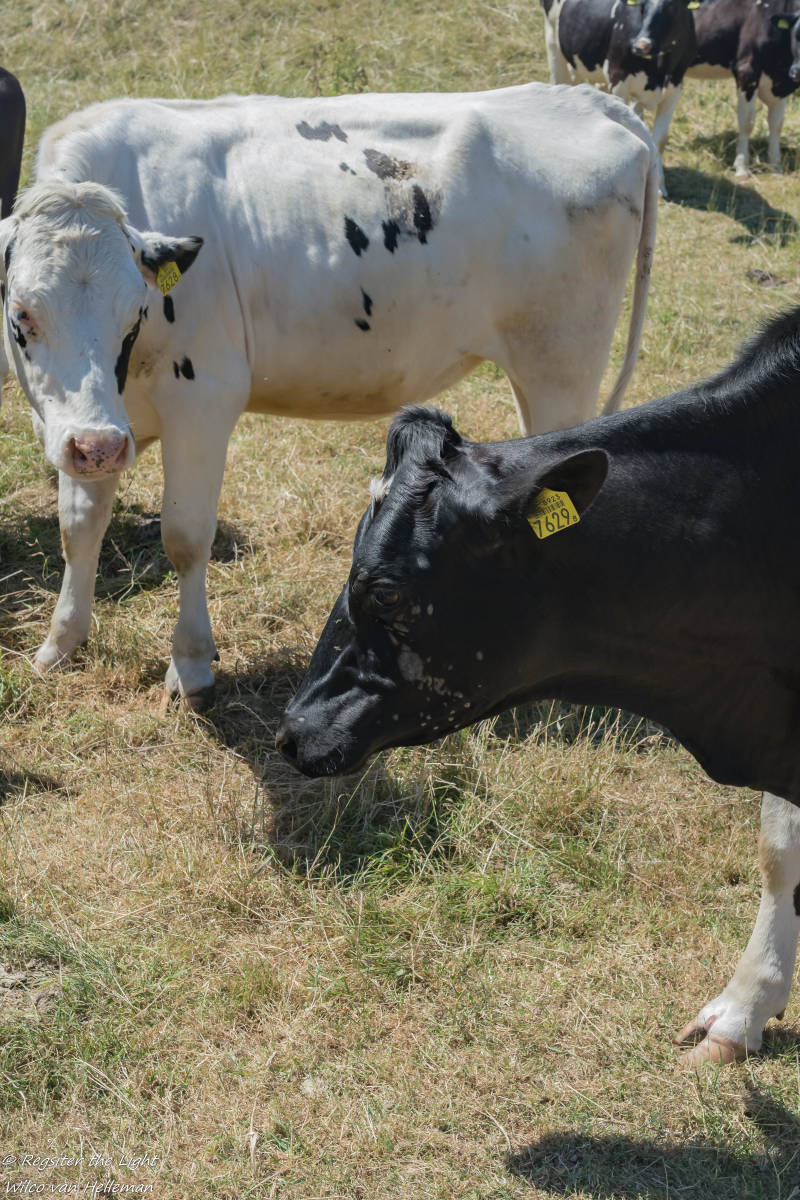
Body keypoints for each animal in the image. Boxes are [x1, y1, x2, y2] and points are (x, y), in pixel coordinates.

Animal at [0, 84, 658, 707]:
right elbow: (79, 526)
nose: (98, 446)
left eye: (135, 310)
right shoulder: (89, 423)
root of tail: (584, 100)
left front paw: (189, 667)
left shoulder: (203, 401)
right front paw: (61, 643)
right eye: (22, 312)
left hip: (561, 365)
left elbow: (185, 538)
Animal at [541, 0, 700, 181]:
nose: (641, 46)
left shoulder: (675, 86)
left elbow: (659, 139)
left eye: (673, 7)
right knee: (558, 80)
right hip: (552, 38)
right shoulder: (618, 78)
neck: (658, 70)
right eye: (642, 6)